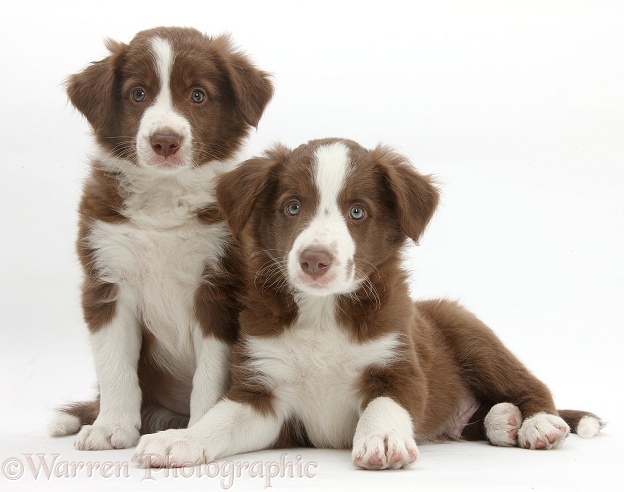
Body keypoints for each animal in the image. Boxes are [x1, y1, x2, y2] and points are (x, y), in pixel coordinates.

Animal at [48, 26, 272, 450]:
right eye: (138, 94)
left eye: (198, 95)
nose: (165, 141)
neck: (164, 198)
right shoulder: (108, 279)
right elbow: (115, 364)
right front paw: (110, 428)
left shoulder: (218, 287)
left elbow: (210, 374)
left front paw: (198, 430)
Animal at [133, 137, 604, 468]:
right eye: (292, 207)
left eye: (357, 212)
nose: (315, 260)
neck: (323, 312)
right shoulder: (263, 389)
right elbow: (220, 419)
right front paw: (179, 440)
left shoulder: (399, 367)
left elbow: (383, 404)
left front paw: (382, 439)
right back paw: (502, 422)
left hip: (471, 334)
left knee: (532, 384)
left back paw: (537, 423)